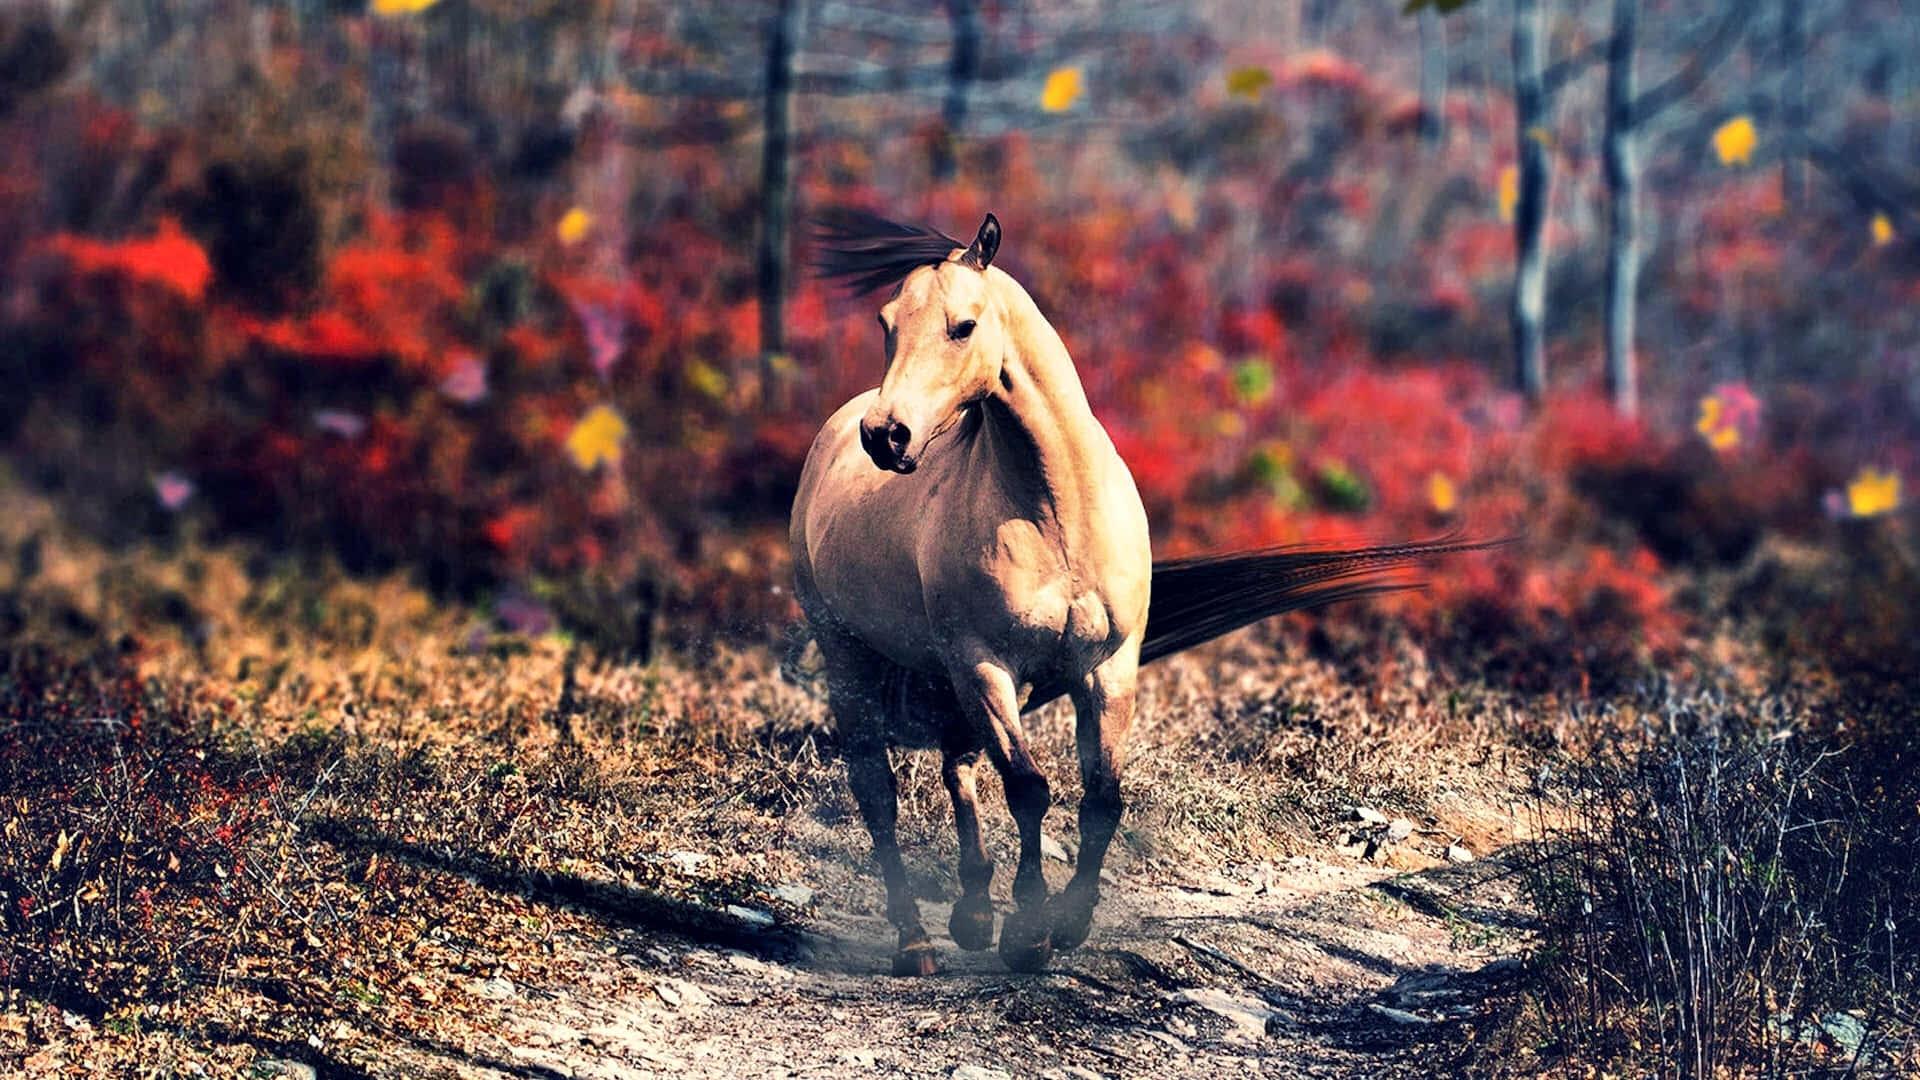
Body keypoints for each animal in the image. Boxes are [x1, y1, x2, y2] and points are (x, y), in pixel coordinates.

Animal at [792, 210, 1491, 976]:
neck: (1055, 512)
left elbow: (1102, 796)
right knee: (879, 791)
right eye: (887, 323)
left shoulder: (1105, 667)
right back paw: (916, 942)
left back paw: (971, 915)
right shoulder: (985, 664)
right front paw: (1029, 932)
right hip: (856, 655)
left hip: (952, 676)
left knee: (959, 767)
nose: (886, 436)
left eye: (963, 325)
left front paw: (1067, 922)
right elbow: (1029, 788)